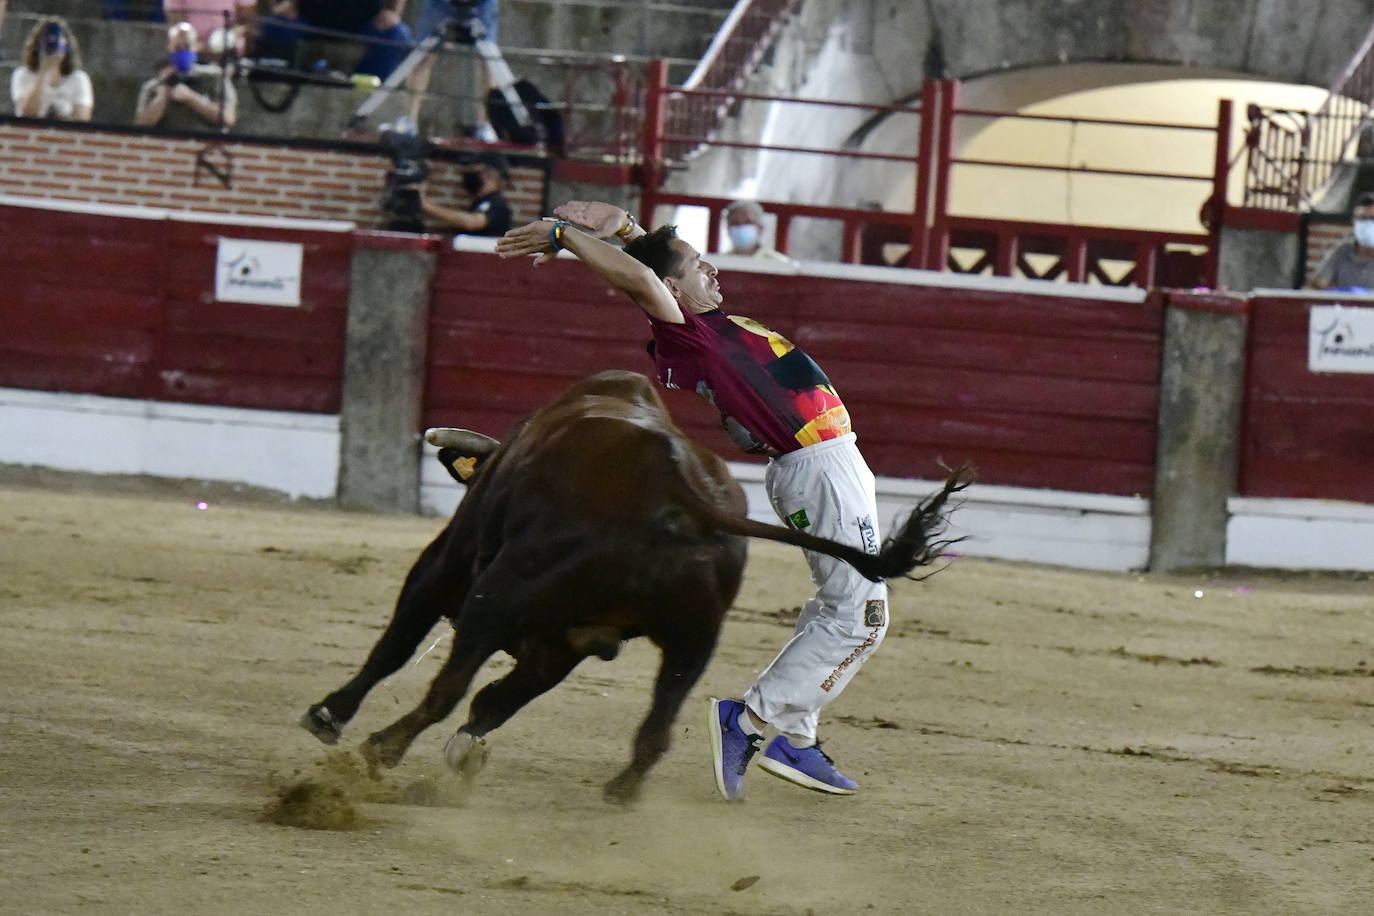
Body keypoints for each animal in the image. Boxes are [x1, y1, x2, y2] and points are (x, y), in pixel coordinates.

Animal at [300, 368, 967, 807]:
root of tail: (682, 495)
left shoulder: (451, 563)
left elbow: (400, 645)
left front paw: (328, 713)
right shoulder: (571, 640)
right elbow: (498, 699)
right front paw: (465, 753)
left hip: (496, 594)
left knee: (447, 685)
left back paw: (380, 749)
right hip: (693, 639)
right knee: (654, 730)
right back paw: (621, 791)